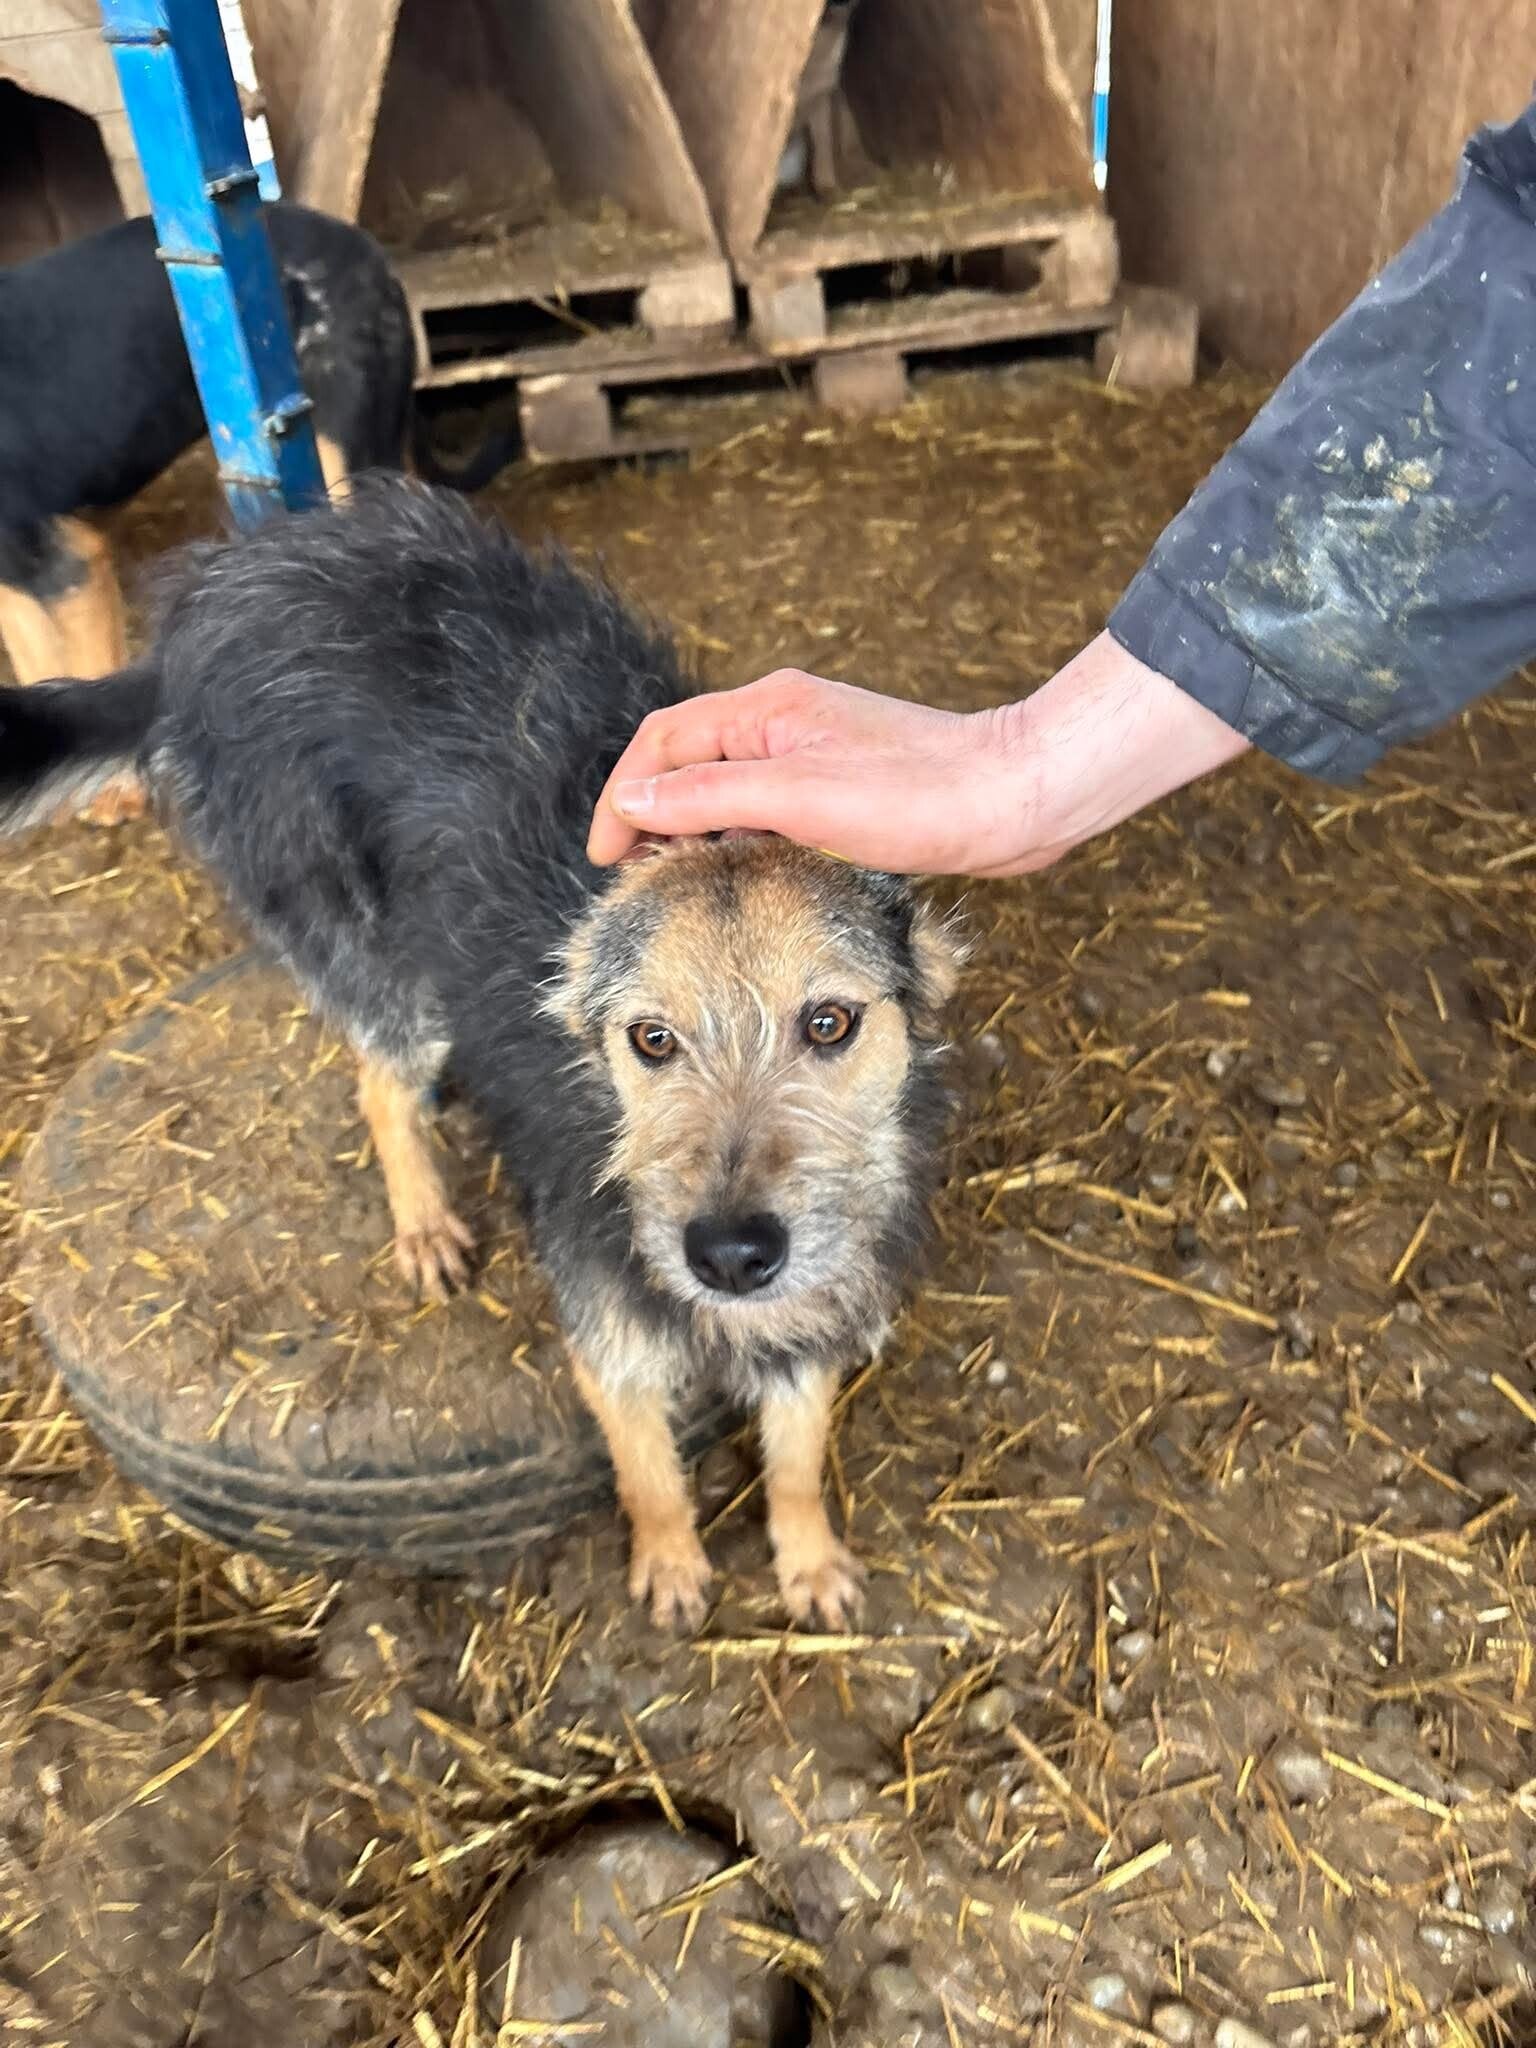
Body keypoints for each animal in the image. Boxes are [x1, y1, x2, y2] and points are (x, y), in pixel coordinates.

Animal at [0, 480, 962, 1628]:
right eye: (651, 1038)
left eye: (828, 1024)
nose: (730, 1254)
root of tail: (216, 596)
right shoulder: (606, 1329)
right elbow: (646, 1467)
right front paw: (672, 1562)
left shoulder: (817, 1304)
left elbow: (800, 1453)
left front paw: (808, 1558)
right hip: (377, 960)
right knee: (379, 1083)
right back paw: (423, 1217)